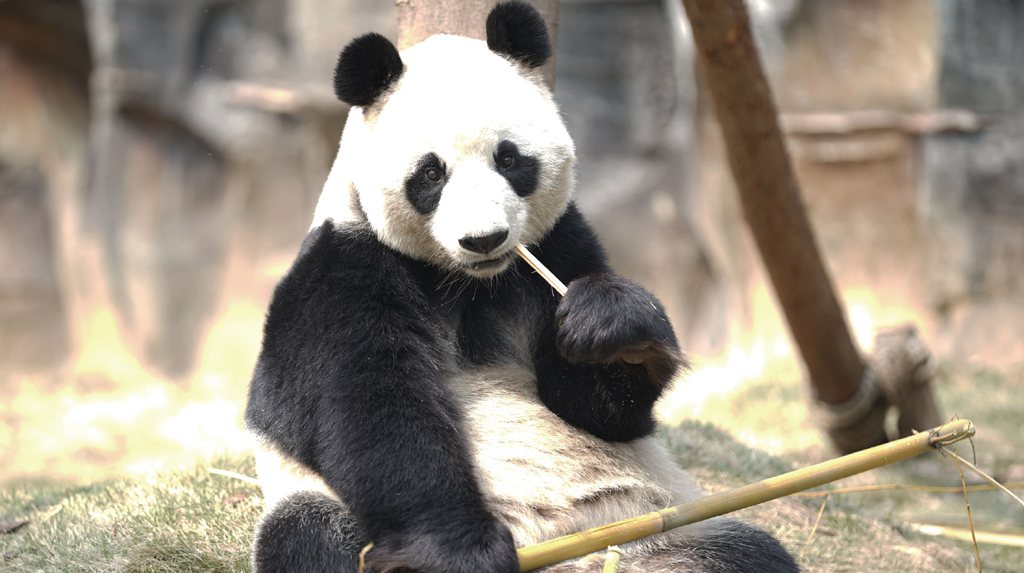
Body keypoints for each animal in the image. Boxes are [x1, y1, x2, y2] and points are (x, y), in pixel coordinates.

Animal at [245, 2, 798, 568]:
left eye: (508, 159)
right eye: (431, 174)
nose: (484, 239)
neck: (467, 283)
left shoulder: (560, 246)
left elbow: (596, 410)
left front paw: (612, 328)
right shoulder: (344, 273)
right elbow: (374, 410)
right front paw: (461, 551)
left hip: (657, 531)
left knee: (749, 551)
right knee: (311, 532)